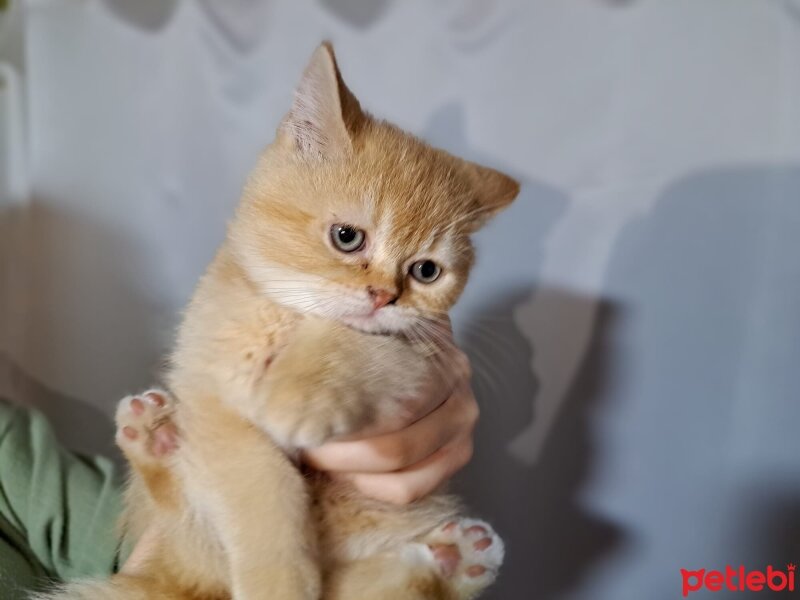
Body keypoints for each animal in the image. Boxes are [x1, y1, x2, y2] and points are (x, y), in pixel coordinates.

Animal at [40, 43, 520, 600]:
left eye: (426, 271)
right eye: (347, 237)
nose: (385, 296)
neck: (284, 317)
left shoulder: (416, 355)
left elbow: (355, 344)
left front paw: (298, 392)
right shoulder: (215, 405)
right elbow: (263, 492)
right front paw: (280, 582)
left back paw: (456, 559)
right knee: (187, 528)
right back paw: (152, 436)